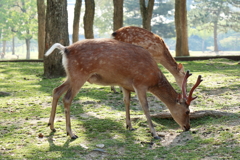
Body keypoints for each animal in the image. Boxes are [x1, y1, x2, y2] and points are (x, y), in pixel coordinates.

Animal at [45, 38, 202, 139]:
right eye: (187, 111)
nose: (187, 127)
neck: (153, 79)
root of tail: (65, 49)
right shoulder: (140, 83)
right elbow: (145, 107)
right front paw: (155, 133)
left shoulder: (126, 85)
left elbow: (127, 102)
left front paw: (130, 126)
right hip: (79, 74)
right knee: (67, 99)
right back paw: (71, 133)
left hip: (71, 76)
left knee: (56, 90)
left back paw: (52, 126)